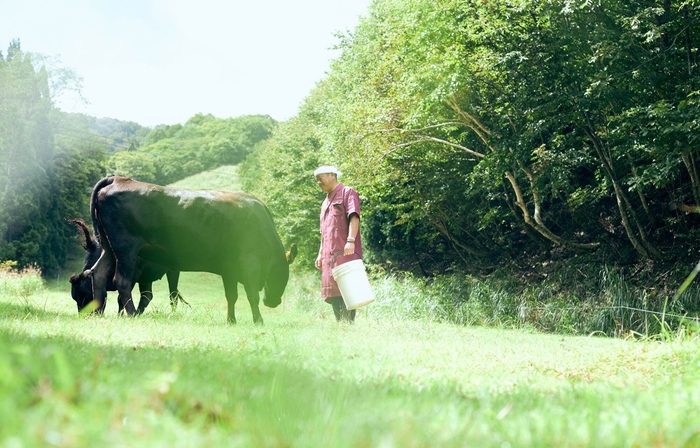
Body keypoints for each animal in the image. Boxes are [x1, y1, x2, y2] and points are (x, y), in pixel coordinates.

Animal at [72, 176, 296, 326]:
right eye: (282, 273)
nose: (273, 302)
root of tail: (118, 178)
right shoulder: (250, 264)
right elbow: (251, 295)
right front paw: (259, 321)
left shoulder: (229, 269)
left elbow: (231, 296)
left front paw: (231, 320)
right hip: (126, 250)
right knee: (122, 281)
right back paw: (132, 313)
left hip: (109, 249)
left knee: (98, 273)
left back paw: (98, 311)